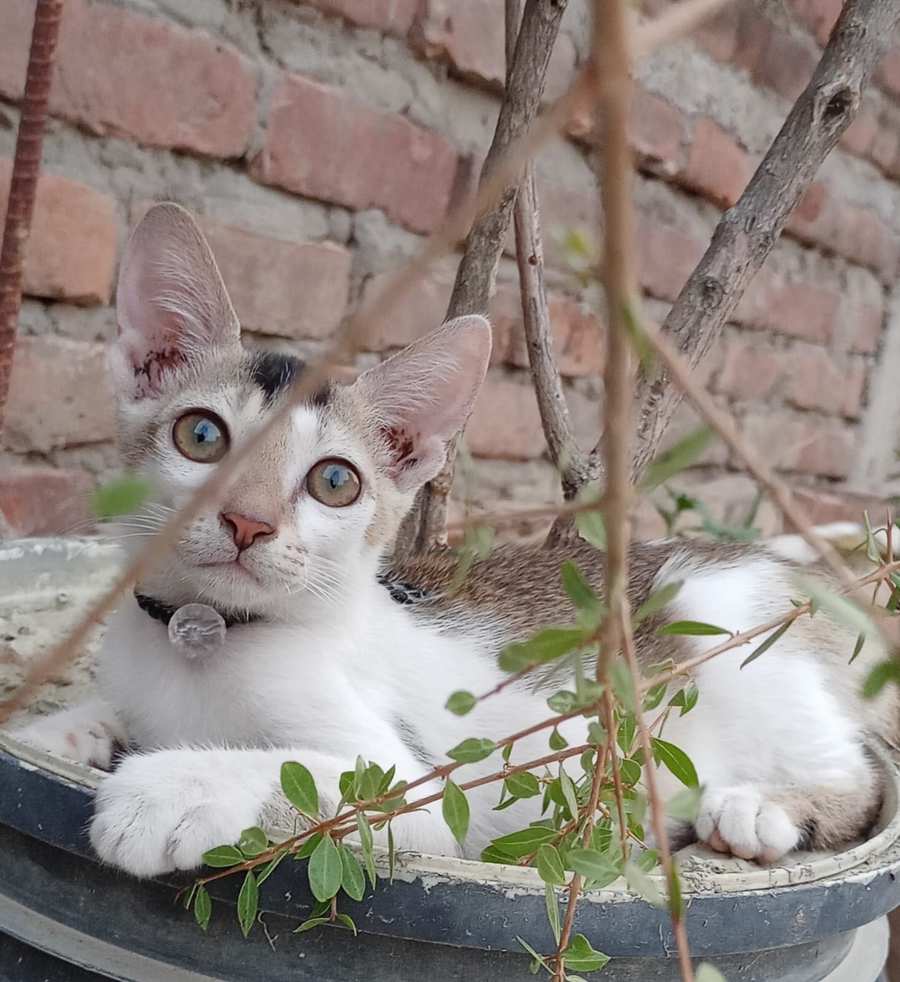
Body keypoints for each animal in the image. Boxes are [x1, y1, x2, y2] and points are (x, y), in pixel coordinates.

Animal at [10, 206, 896, 876]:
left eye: (335, 482)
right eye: (200, 435)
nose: (248, 522)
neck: (205, 638)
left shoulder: (421, 793)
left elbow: (315, 779)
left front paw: (169, 789)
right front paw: (66, 731)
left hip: (726, 616)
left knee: (859, 775)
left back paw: (761, 809)